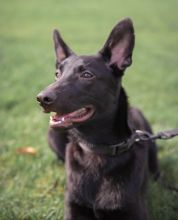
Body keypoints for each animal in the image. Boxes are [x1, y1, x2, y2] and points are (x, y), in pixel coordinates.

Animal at [36, 17, 159, 220]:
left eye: (87, 75)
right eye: (57, 74)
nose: (41, 98)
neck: (97, 150)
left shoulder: (134, 210)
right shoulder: (73, 206)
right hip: (52, 135)